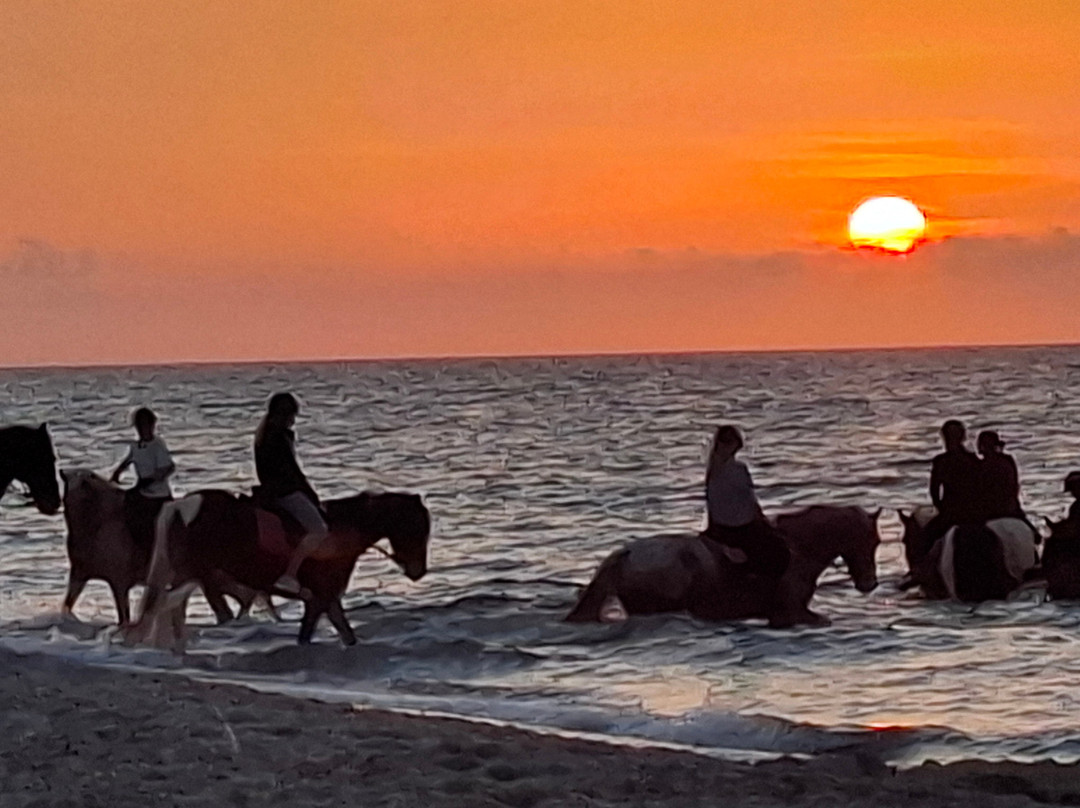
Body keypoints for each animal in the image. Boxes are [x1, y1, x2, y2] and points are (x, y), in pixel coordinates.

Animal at [60, 469, 267, 626]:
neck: (98, 520)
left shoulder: (119, 581)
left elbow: (123, 616)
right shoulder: (79, 575)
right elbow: (68, 604)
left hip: (212, 575)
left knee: (233, 605)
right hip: (214, 576)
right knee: (241, 599)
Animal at [127, 488, 431, 649]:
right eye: (417, 527)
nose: (418, 572)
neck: (339, 531)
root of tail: (184, 504)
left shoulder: (327, 599)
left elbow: (346, 634)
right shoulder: (320, 598)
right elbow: (309, 634)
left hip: (192, 577)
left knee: (172, 607)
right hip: (195, 576)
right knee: (167, 606)